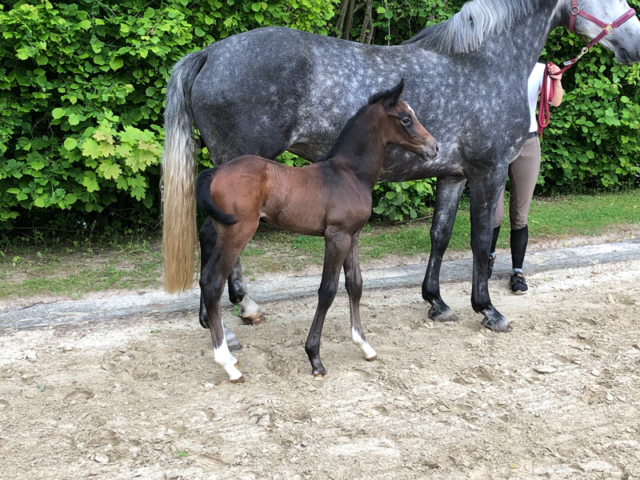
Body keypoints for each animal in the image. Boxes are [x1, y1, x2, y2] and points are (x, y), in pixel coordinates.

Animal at [161, 0, 640, 344]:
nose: (635, 43)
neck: (484, 61)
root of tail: (210, 53)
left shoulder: (453, 175)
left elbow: (440, 235)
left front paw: (437, 302)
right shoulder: (488, 173)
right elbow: (480, 241)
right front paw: (487, 309)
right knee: (212, 239)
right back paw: (229, 319)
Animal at [194, 81, 436, 382]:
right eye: (405, 119)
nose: (434, 147)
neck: (349, 173)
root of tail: (214, 172)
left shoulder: (353, 236)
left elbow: (355, 285)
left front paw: (364, 345)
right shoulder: (336, 237)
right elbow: (328, 290)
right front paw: (315, 358)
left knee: (205, 275)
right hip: (236, 234)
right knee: (213, 282)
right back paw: (227, 364)